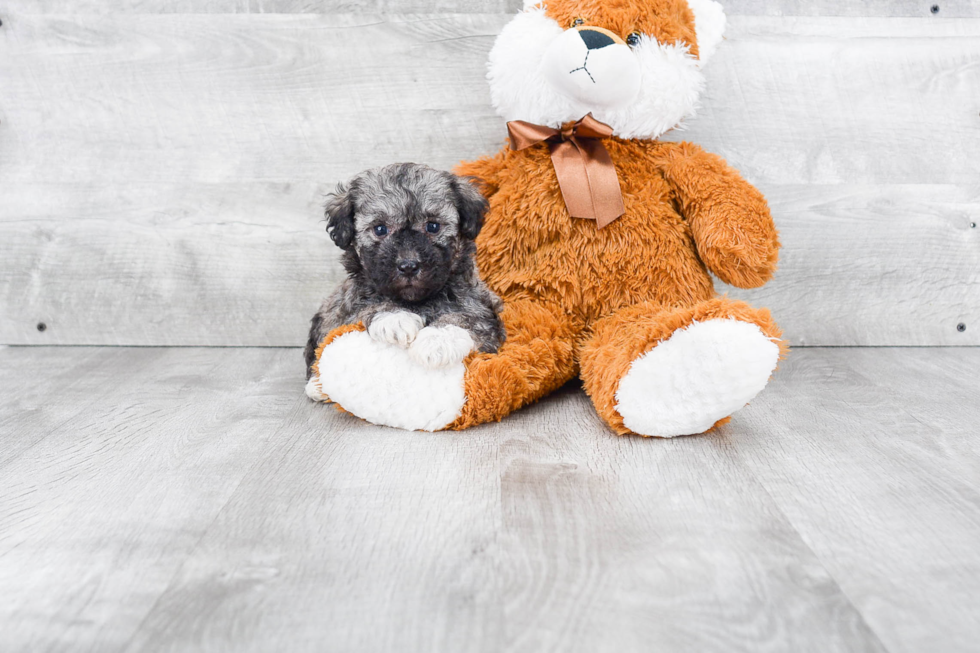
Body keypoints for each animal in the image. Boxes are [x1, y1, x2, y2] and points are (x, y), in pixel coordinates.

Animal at [304, 160, 506, 380]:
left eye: (433, 226)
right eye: (380, 229)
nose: (408, 266)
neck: (415, 301)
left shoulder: (482, 307)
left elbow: (467, 317)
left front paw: (437, 340)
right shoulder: (343, 313)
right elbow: (366, 305)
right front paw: (395, 318)